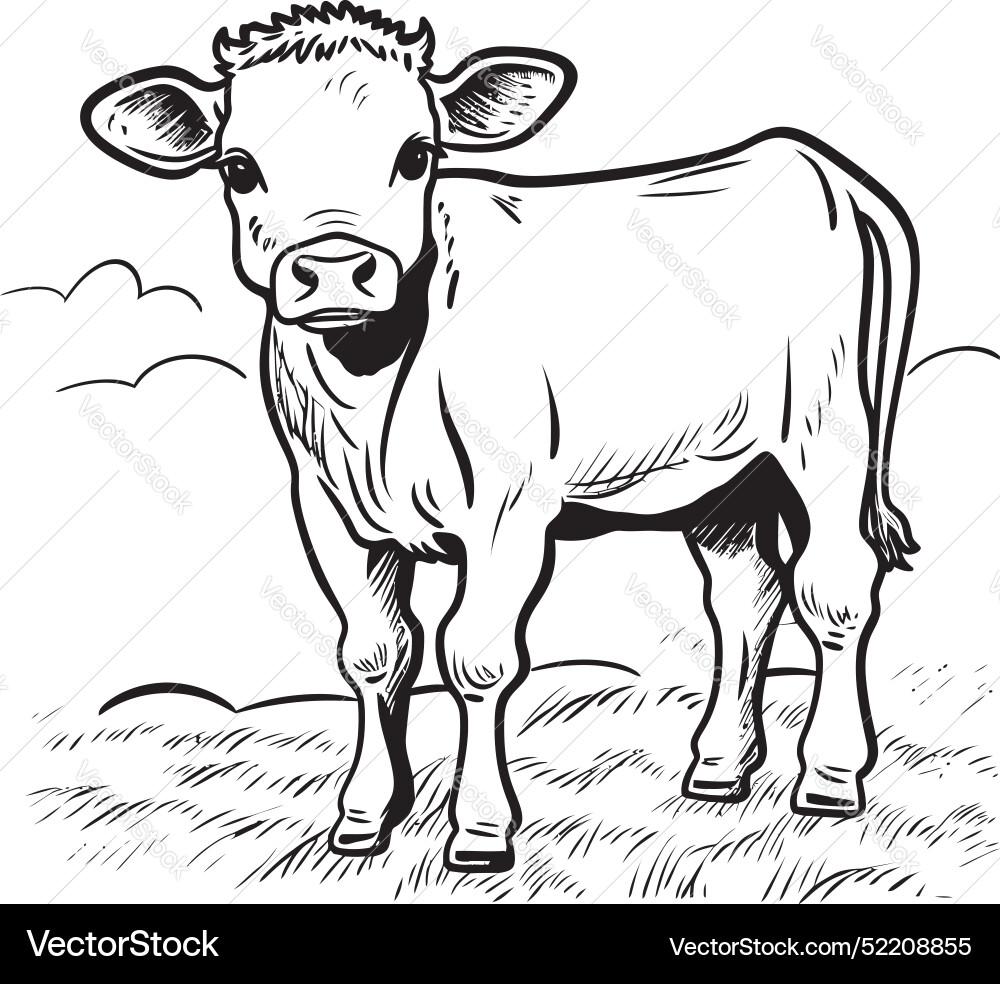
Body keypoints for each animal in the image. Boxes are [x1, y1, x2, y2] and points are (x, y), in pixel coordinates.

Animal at [82, 1, 918, 872]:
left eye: (417, 156)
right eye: (239, 168)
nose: (338, 269)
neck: (370, 395)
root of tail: (814, 162)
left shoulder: (507, 512)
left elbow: (475, 659)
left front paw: (479, 831)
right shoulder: (328, 510)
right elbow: (374, 652)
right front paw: (364, 818)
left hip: (826, 437)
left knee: (836, 590)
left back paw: (829, 779)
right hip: (725, 474)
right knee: (745, 596)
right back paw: (719, 768)